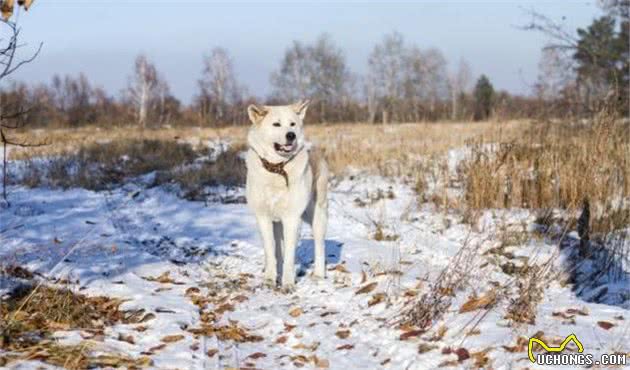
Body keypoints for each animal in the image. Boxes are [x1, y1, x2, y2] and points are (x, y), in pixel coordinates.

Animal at [246, 99, 330, 290]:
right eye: (276, 124)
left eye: (292, 124)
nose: (291, 135)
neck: (277, 169)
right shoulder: (263, 217)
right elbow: (271, 251)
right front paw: (270, 280)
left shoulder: (292, 218)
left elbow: (290, 255)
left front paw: (288, 283)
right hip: (277, 222)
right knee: (278, 249)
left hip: (317, 216)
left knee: (319, 246)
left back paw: (318, 275)